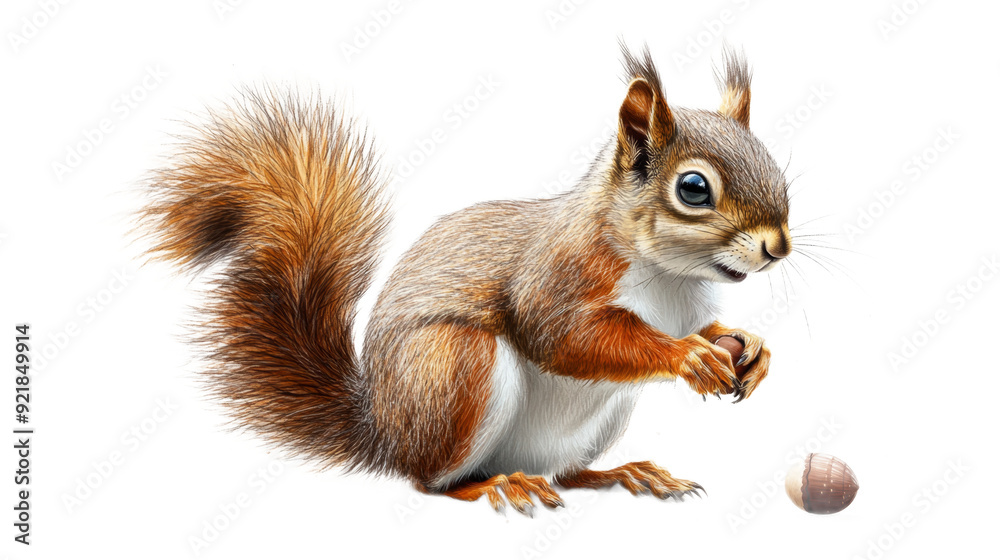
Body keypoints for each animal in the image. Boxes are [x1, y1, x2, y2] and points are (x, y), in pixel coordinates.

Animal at [141, 45, 792, 515]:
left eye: (775, 165)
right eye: (693, 188)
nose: (777, 247)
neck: (668, 276)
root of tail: (386, 431)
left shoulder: (687, 307)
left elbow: (710, 328)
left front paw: (751, 347)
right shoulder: (559, 275)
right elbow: (564, 337)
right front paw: (686, 356)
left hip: (601, 418)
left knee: (571, 474)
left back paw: (627, 472)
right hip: (456, 368)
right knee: (432, 482)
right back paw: (498, 486)